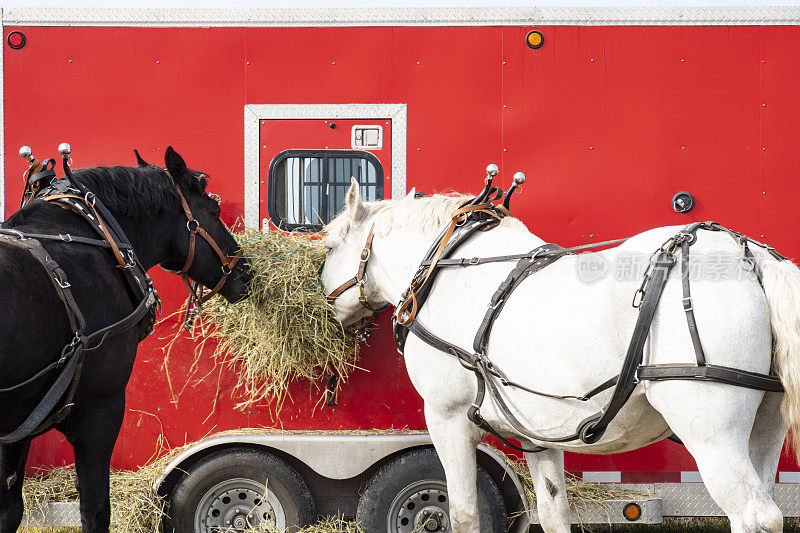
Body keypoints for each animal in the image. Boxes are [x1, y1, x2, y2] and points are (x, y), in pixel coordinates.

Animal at [0, 147, 248, 532]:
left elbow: (10, 509)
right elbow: (96, 510)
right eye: (214, 210)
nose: (245, 272)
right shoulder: (100, 410)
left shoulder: (20, 423)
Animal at [322, 180, 800, 532]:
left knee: (754, 515)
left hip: (712, 432)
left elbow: (463, 513)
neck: (444, 268)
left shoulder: (447, 418)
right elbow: (554, 513)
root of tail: (751, 255)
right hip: (763, 425)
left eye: (327, 248)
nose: (324, 306)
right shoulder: (538, 432)